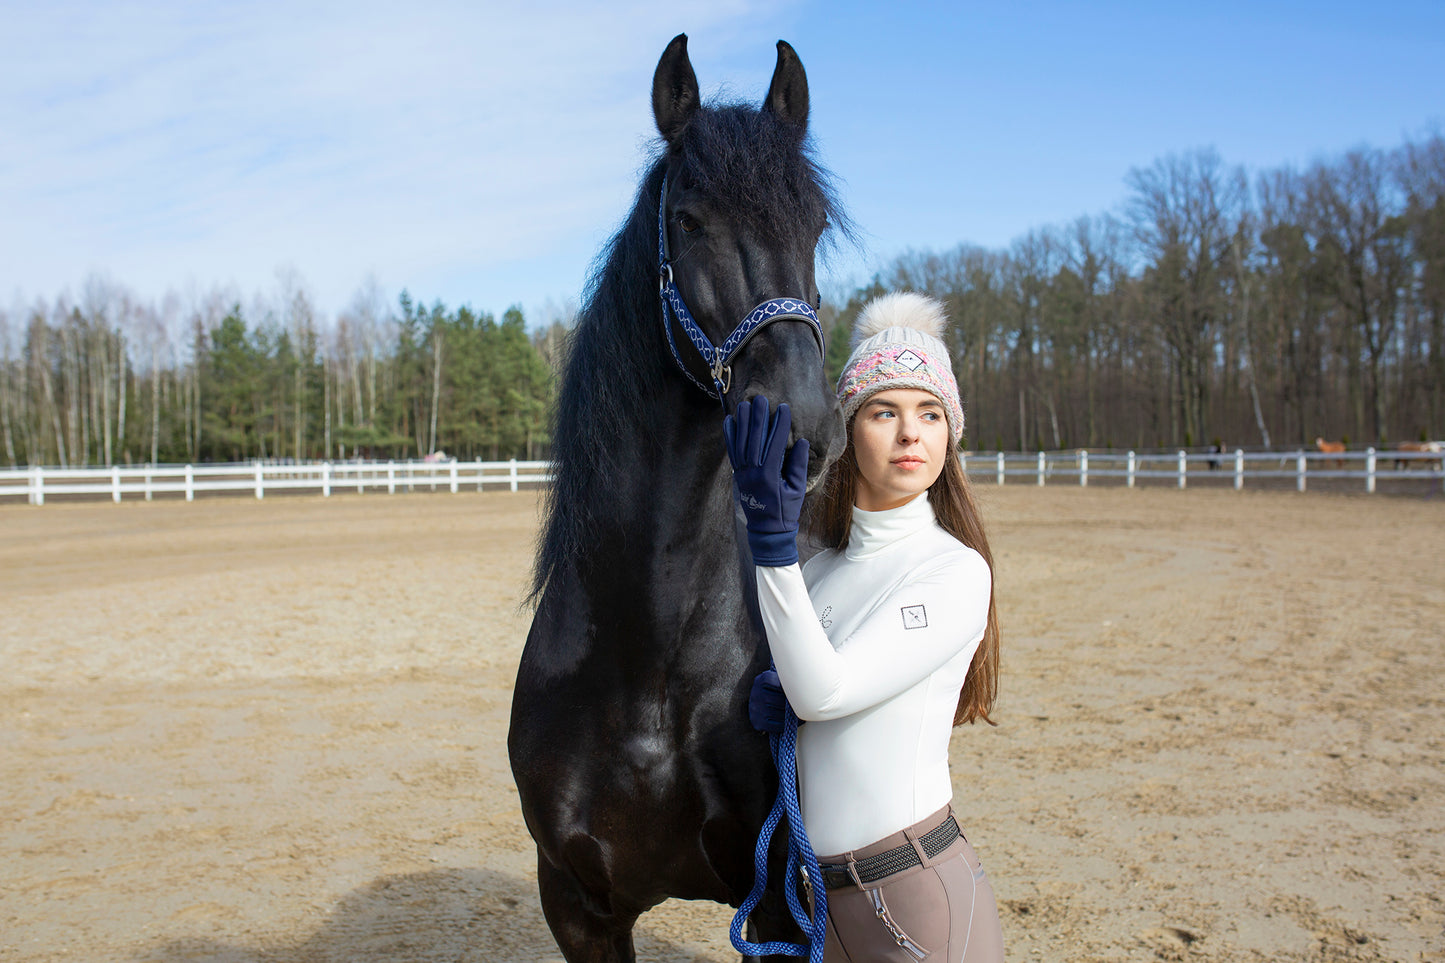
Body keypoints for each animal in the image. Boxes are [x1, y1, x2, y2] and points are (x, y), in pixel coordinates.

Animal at [508, 31, 843, 960]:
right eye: (689, 220)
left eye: (815, 223)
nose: (803, 426)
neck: (647, 673)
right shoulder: (578, 906)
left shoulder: (777, 904)